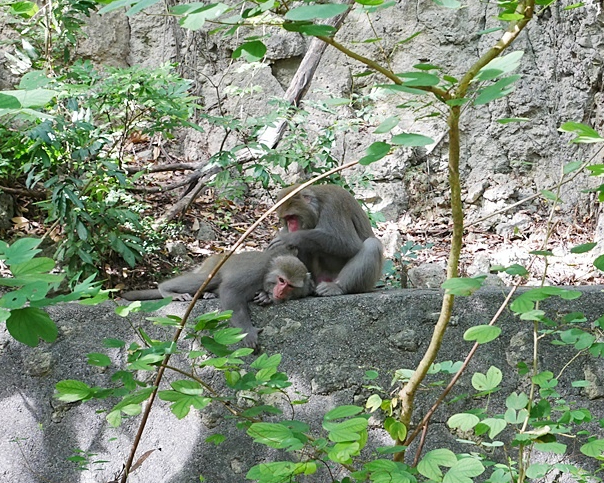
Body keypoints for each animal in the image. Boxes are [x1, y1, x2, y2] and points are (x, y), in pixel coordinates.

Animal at [121, 250, 314, 348]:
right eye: (281, 280)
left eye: (290, 286)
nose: (280, 292)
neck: (267, 274)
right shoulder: (255, 271)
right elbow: (230, 291)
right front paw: (248, 331)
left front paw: (265, 297)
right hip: (212, 265)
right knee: (209, 279)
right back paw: (167, 290)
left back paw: (210, 294)